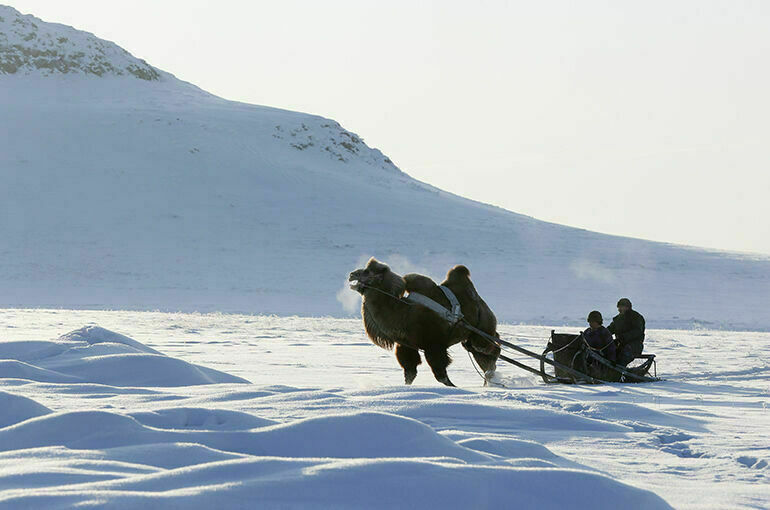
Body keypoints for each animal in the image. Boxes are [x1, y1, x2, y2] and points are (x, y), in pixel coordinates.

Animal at [346, 258, 498, 386]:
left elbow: (441, 375)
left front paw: (455, 388)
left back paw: (490, 378)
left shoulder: (434, 345)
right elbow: (410, 373)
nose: (351, 274)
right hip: (469, 338)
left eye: (366, 272)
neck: (401, 312)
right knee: (483, 353)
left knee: (490, 348)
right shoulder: (406, 345)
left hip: (481, 329)